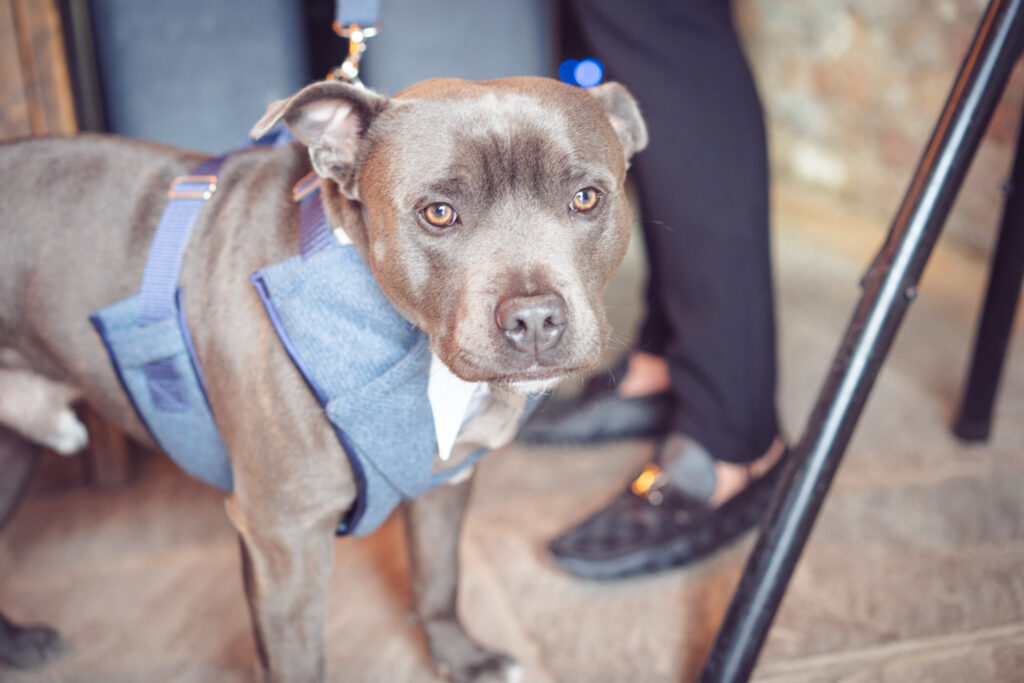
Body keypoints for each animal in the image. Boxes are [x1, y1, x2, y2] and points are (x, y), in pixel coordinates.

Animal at [0, 77, 647, 679]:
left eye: (586, 198)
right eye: (438, 213)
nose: (535, 318)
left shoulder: (443, 479)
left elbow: (439, 575)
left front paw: (460, 658)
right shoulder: (285, 535)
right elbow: (298, 656)